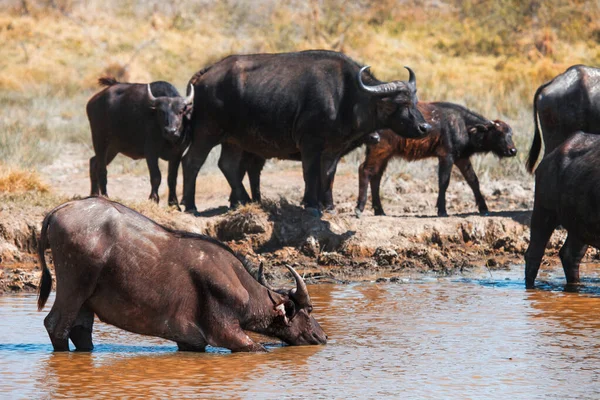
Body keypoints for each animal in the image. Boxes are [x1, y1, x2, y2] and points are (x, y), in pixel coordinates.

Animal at [36, 198, 328, 352]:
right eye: (308, 310)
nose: (323, 337)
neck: (240, 284)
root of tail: (60, 210)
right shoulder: (228, 333)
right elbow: (258, 347)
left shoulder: (189, 342)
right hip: (74, 288)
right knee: (56, 325)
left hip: (85, 300)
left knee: (80, 331)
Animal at [86, 75, 193, 208]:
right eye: (161, 112)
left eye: (180, 111)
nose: (170, 130)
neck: (168, 140)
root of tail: (93, 101)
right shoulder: (151, 153)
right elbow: (156, 176)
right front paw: (153, 200)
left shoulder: (177, 154)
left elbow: (172, 179)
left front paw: (174, 204)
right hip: (100, 140)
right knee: (101, 169)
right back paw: (105, 196)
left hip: (113, 148)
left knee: (93, 162)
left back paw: (94, 194)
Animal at [183, 50, 432, 216]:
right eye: (399, 103)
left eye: (415, 101)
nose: (425, 128)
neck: (346, 95)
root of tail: (206, 74)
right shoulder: (310, 144)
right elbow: (310, 174)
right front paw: (311, 204)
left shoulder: (333, 149)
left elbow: (328, 175)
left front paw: (329, 206)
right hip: (207, 132)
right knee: (192, 162)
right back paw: (190, 205)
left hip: (234, 140)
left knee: (228, 165)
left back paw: (244, 201)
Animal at [356, 101, 516, 217]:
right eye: (499, 133)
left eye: (510, 134)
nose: (513, 150)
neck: (463, 125)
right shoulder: (447, 157)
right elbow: (444, 182)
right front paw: (442, 210)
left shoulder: (461, 158)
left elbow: (473, 181)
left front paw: (484, 208)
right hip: (379, 151)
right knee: (364, 170)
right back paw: (359, 208)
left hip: (384, 155)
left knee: (376, 177)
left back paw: (379, 211)